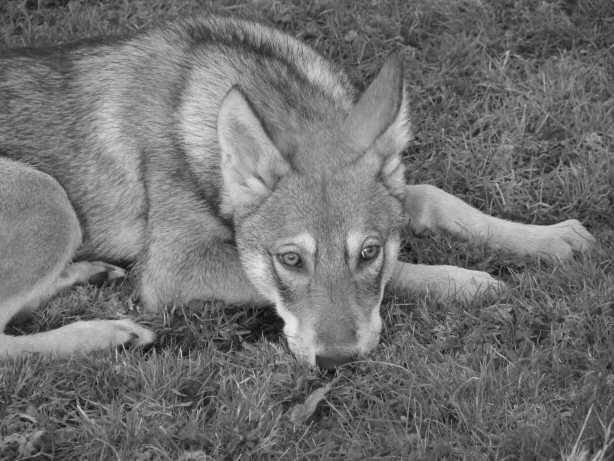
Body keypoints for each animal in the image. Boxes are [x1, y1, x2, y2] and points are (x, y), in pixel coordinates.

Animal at [0, 14, 596, 368]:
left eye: (368, 251)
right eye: (289, 259)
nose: (337, 363)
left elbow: (434, 198)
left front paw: (547, 239)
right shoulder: (173, 269)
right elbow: (411, 271)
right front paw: (466, 281)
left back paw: (86, 272)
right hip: (47, 196)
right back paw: (106, 333)